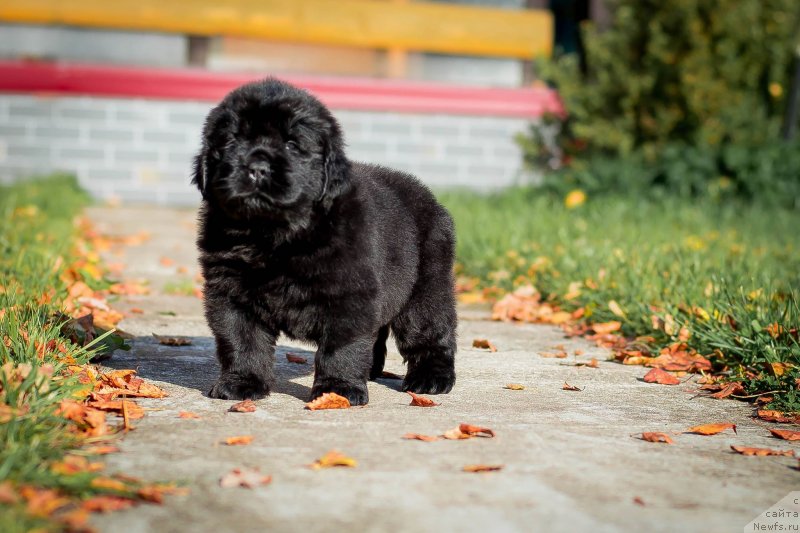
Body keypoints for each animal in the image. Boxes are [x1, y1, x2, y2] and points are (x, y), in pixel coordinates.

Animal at [191, 79, 460, 404]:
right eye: (232, 142)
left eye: (292, 145)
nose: (257, 169)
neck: (276, 236)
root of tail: (432, 199)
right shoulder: (231, 293)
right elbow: (241, 339)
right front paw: (241, 383)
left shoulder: (350, 295)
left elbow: (341, 348)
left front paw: (338, 390)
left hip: (426, 286)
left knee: (430, 330)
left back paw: (431, 378)